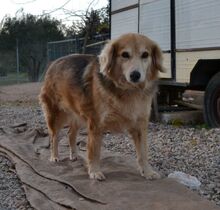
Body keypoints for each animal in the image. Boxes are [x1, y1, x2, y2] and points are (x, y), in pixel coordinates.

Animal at [38, 32, 164, 180]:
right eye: (125, 55)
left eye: (145, 55)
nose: (135, 75)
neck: (128, 90)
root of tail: (53, 63)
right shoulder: (96, 125)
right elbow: (94, 151)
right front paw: (94, 171)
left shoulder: (140, 125)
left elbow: (143, 153)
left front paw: (147, 172)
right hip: (56, 116)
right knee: (54, 137)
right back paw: (54, 156)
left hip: (78, 114)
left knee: (70, 134)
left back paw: (74, 154)